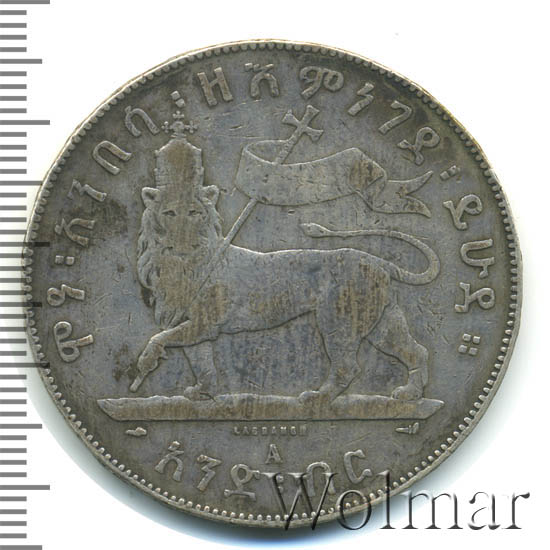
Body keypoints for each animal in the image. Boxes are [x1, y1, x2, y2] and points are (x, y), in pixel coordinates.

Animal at [130, 180, 440, 404]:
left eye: (194, 212)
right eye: (169, 213)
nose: (183, 237)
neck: (180, 263)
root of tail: (378, 262)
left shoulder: (205, 322)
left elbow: (160, 338)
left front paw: (146, 362)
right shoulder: (195, 325)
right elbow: (201, 360)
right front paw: (202, 393)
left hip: (338, 323)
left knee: (347, 366)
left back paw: (318, 398)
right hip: (383, 324)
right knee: (417, 351)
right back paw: (410, 395)